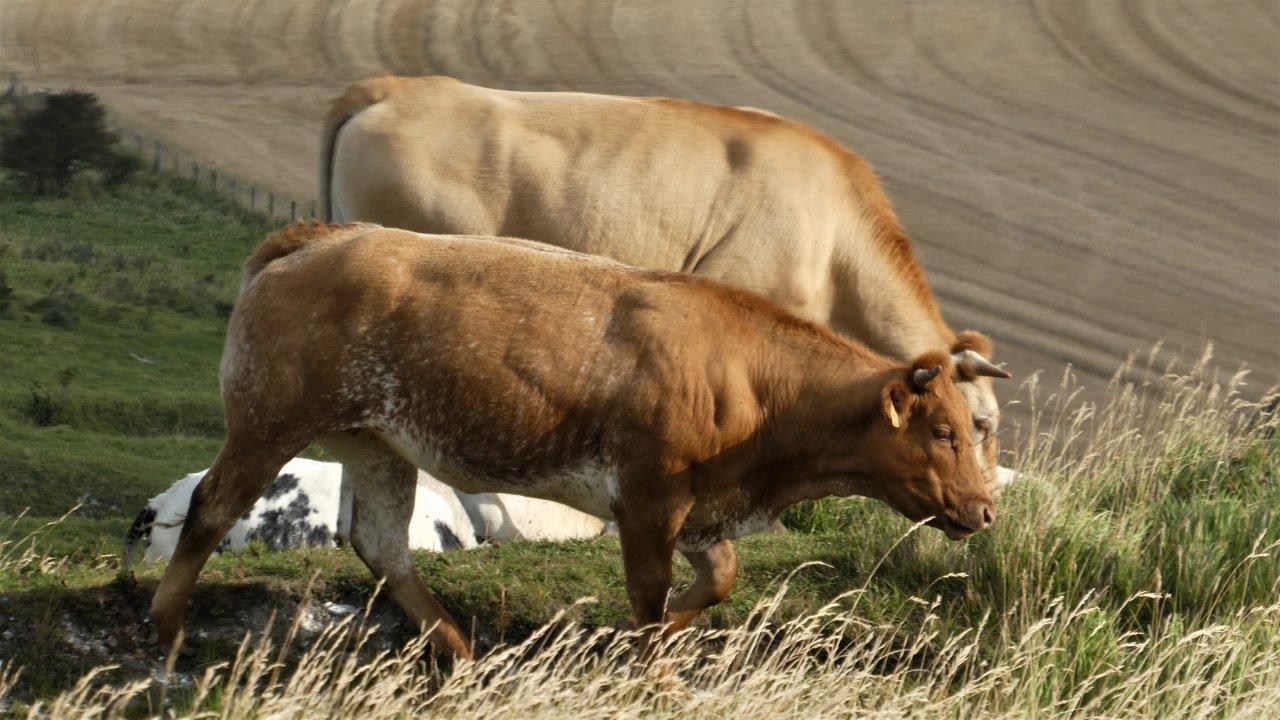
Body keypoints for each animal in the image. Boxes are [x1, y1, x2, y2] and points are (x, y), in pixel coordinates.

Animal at [147, 222, 988, 655]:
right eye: (946, 430)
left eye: (976, 428)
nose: (983, 510)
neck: (755, 384)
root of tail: (317, 237)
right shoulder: (648, 498)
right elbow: (649, 597)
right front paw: (649, 668)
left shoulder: (703, 508)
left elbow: (718, 580)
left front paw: (640, 643)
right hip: (268, 421)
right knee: (211, 509)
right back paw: (167, 627)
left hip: (375, 442)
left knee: (382, 547)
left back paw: (459, 652)